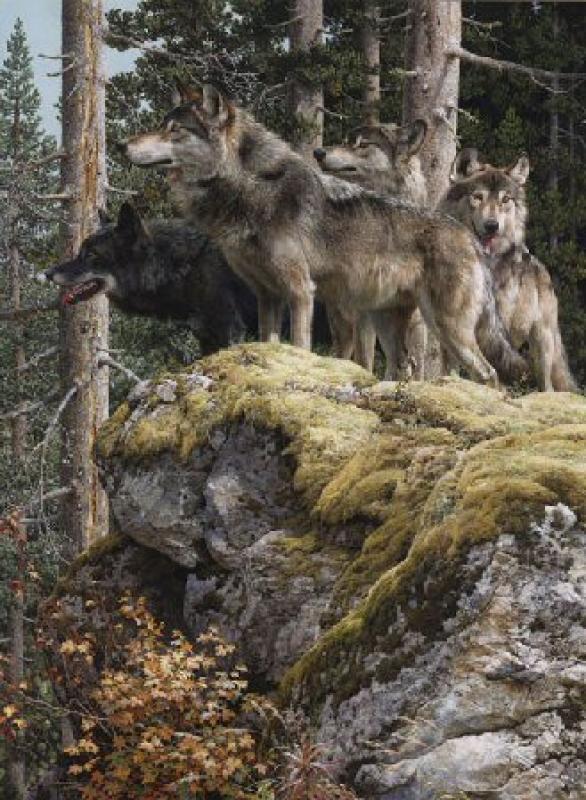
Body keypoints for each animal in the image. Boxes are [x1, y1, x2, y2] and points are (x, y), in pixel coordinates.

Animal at [118, 83, 526, 386]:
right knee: (408, 368)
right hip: (391, 323)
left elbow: (300, 348)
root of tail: (470, 238)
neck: (250, 187)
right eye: (162, 125)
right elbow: (270, 342)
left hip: (447, 328)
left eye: (174, 130)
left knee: (489, 374)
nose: (122, 145)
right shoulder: (268, 296)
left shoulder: (301, 292)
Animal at [439, 149, 576, 392]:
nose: (492, 226)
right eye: (478, 196)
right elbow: (452, 366)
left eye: (505, 200)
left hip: (542, 342)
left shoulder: (496, 327)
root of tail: (542, 268)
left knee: (547, 384)